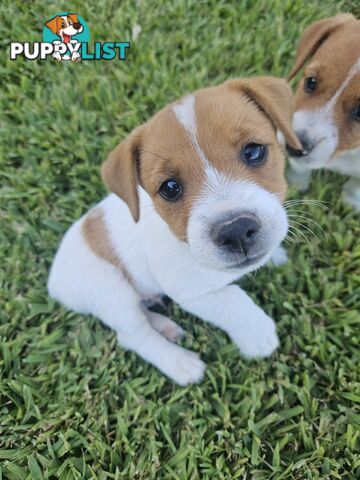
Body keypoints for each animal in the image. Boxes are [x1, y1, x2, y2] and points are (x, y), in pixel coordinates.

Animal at [47, 77, 300, 384]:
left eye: (253, 151)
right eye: (169, 188)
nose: (236, 230)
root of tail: (53, 281)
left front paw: (276, 257)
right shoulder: (190, 291)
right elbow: (233, 300)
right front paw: (259, 335)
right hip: (109, 291)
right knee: (133, 335)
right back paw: (180, 363)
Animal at [286, 13, 360, 210]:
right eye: (311, 82)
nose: (294, 146)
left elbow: (355, 187)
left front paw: (350, 204)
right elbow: (298, 168)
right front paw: (295, 185)